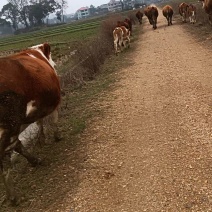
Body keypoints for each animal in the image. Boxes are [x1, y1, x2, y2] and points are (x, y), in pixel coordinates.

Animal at [0, 42, 61, 204]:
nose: (55, 65)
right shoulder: (55, 102)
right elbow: (54, 120)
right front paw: (57, 136)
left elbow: (39, 122)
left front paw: (42, 139)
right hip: (9, 127)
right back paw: (13, 196)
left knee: (15, 147)